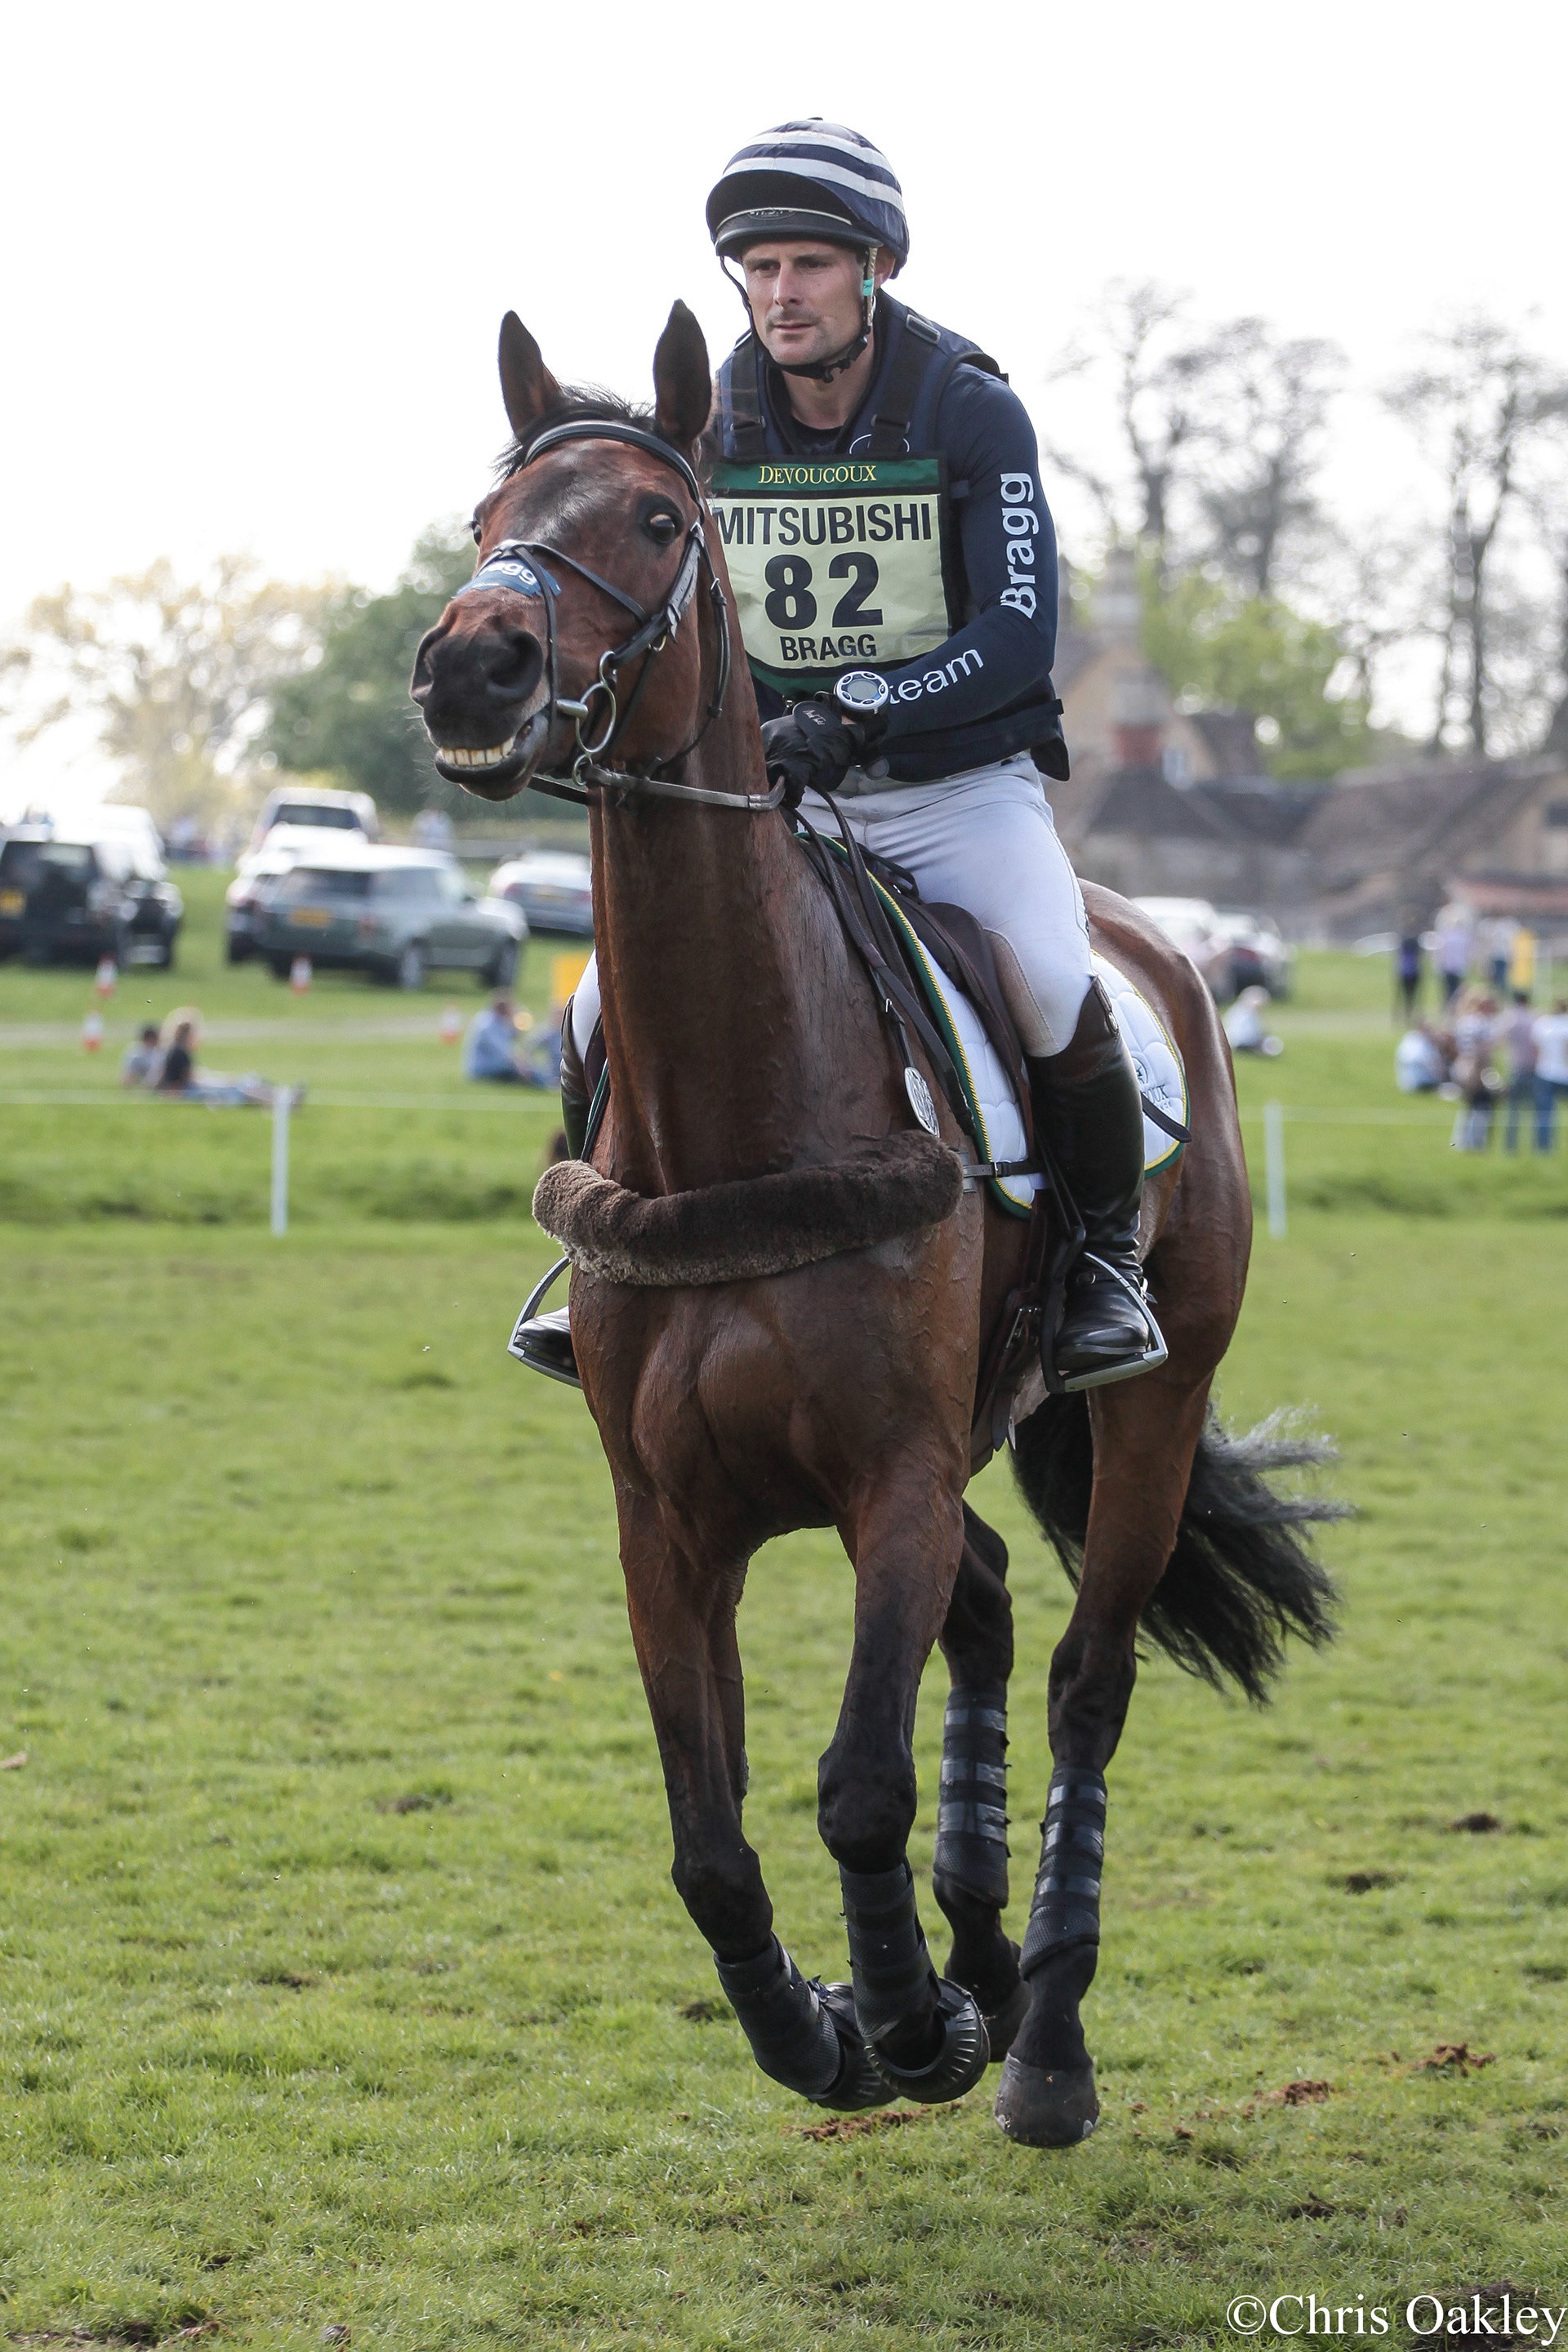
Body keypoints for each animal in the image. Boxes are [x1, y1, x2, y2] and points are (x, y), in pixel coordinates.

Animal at [409, 299, 1339, 2147]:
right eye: (490, 522)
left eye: (655, 520)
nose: (470, 666)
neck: (742, 1107)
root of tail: (1162, 942)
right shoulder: (667, 1520)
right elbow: (710, 1839)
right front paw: (829, 2022)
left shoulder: (889, 1481)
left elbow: (853, 1786)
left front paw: (901, 2021)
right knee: (987, 1610)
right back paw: (983, 1952)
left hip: (1152, 1405)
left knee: (1084, 1679)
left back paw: (1040, 2037)